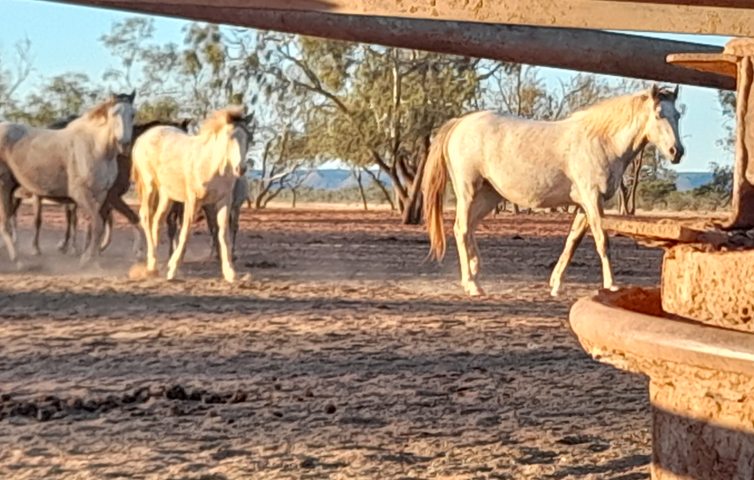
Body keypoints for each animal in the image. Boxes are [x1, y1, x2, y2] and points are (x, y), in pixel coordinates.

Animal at [0, 92, 136, 264]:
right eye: (114, 113)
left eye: (133, 114)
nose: (124, 144)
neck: (95, 148)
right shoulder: (80, 194)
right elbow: (97, 224)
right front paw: (85, 259)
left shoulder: (101, 195)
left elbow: (94, 225)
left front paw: (90, 258)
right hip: (4, 186)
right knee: (5, 222)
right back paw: (18, 261)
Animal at [132, 106, 250, 282]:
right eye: (229, 137)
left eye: (248, 137)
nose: (240, 169)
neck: (211, 165)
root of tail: (142, 138)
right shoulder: (193, 201)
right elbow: (185, 232)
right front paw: (172, 270)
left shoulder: (223, 201)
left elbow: (222, 233)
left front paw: (230, 273)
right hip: (150, 187)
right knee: (146, 217)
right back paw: (152, 265)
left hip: (167, 195)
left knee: (157, 221)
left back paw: (153, 266)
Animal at [422, 85, 684, 297]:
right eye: (659, 114)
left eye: (678, 115)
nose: (677, 152)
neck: (602, 141)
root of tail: (459, 123)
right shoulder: (592, 200)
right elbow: (603, 241)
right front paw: (611, 285)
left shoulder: (583, 206)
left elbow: (572, 241)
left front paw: (556, 284)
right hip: (468, 192)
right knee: (461, 228)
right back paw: (472, 284)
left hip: (489, 195)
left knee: (471, 227)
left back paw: (475, 270)